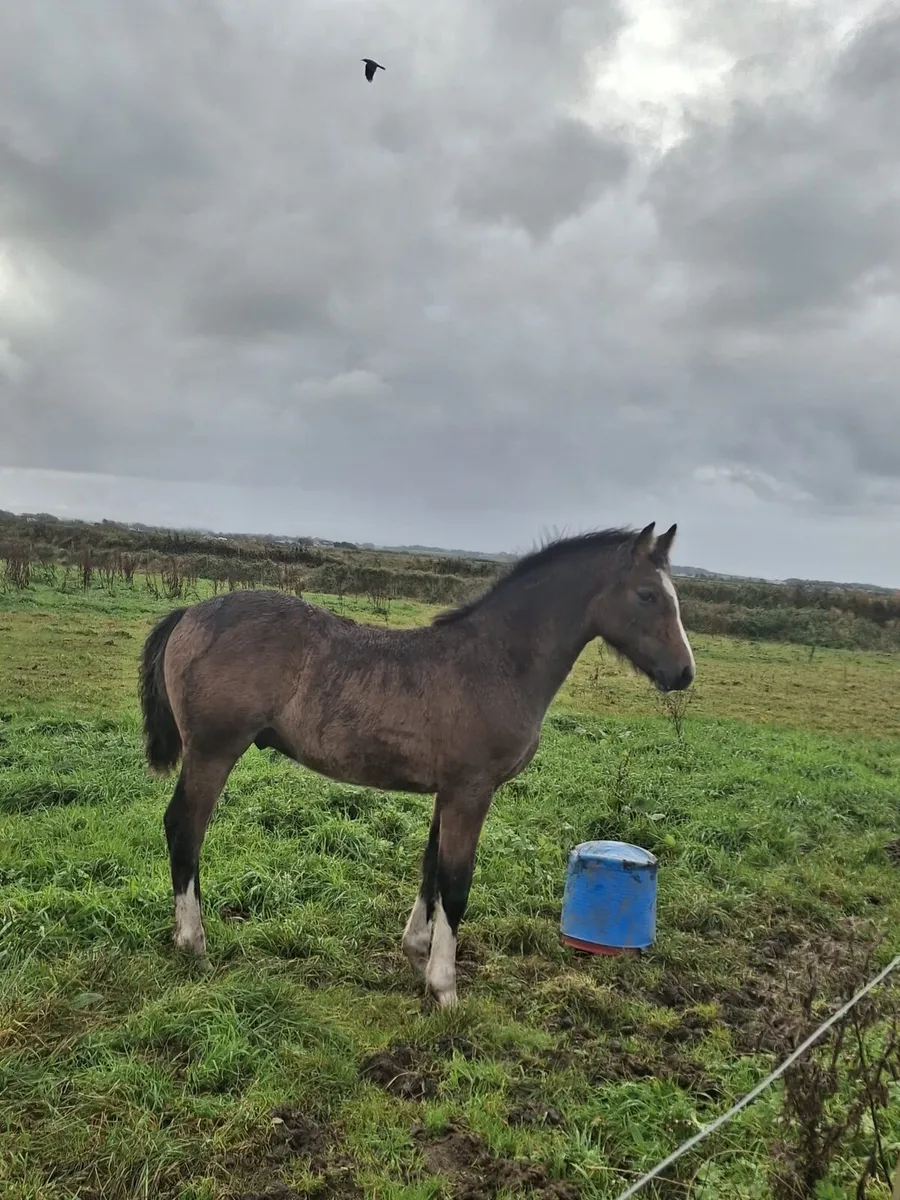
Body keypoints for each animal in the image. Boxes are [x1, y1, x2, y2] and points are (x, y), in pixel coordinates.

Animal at [138, 521, 695, 1007]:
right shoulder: (472, 791)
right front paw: (445, 988)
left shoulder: (447, 792)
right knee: (184, 828)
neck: (496, 661)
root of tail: (189, 612)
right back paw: (194, 944)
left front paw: (416, 955)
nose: (684, 673)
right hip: (213, 752)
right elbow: (456, 882)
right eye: (648, 595)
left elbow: (431, 870)